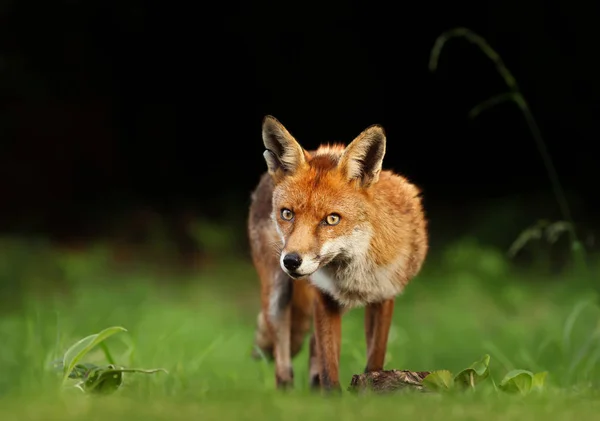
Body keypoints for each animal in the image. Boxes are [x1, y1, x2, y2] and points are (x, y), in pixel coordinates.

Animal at [247, 115, 426, 390]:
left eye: (332, 219)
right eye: (287, 214)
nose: (291, 261)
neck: (357, 270)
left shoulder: (385, 294)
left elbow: (375, 356)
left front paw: (372, 385)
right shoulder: (324, 296)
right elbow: (329, 364)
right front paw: (332, 396)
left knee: (311, 346)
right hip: (277, 293)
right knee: (283, 350)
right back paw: (286, 389)